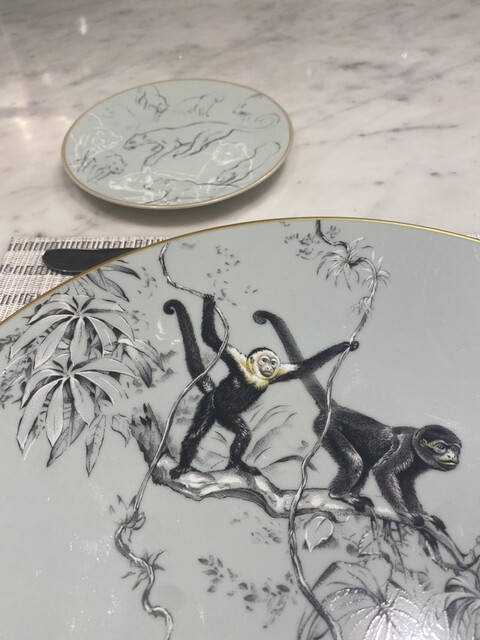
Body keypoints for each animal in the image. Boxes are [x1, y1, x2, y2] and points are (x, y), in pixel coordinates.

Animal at [164, 296, 358, 480]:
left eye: (272, 363)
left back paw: (236, 463)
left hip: (222, 412)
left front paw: (344, 346)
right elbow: (210, 338)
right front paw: (208, 304)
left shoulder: (279, 372)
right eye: (264, 360)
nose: (269, 367)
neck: (255, 376)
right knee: (198, 433)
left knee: (242, 433)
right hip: (212, 404)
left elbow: (304, 368)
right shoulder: (237, 360)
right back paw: (185, 465)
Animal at [253, 310, 462, 530]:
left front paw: (422, 514)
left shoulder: (416, 465)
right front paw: (405, 513)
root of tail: (335, 408)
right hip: (328, 430)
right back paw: (339, 494)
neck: (415, 444)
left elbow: (405, 483)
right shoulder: (405, 449)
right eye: (441, 447)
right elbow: (383, 471)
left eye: (455, 449)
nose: (452, 456)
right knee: (356, 461)